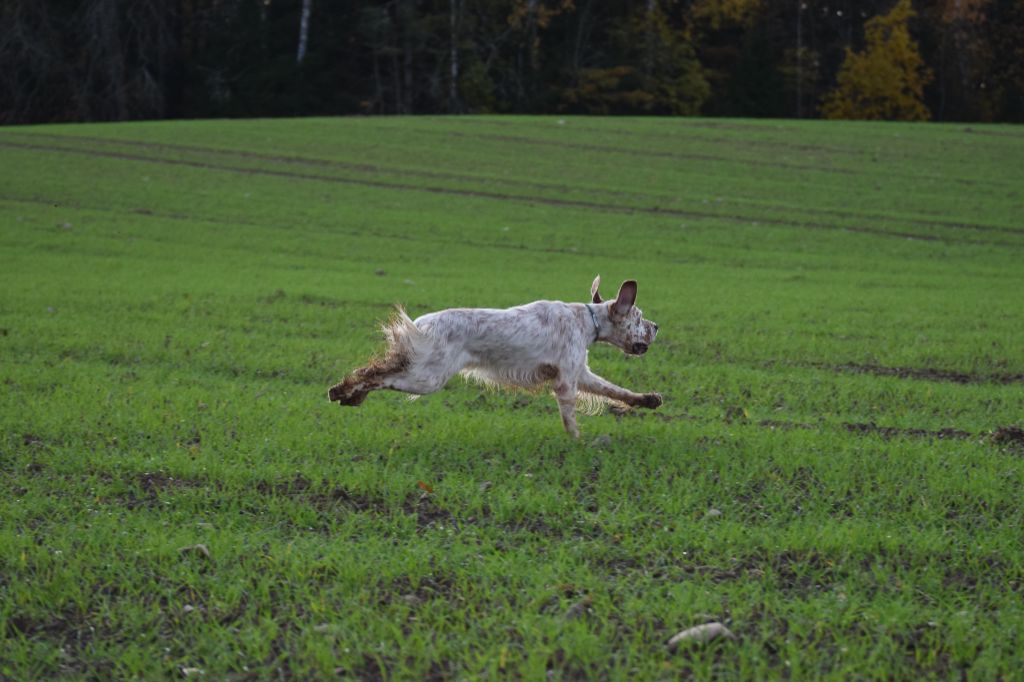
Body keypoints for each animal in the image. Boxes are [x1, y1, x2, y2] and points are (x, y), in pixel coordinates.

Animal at [327, 274, 663, 436]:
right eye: (639, 317)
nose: (657, 326)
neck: (587, 320)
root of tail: (422, 324)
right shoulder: (567, 381)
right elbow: (570, 419)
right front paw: (578, 442)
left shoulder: (580, 373)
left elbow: (616, 391)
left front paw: (649, 399)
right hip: (426, 377)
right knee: (376, 374)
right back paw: (343, 392)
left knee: (378, 369)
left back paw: (348, 395)